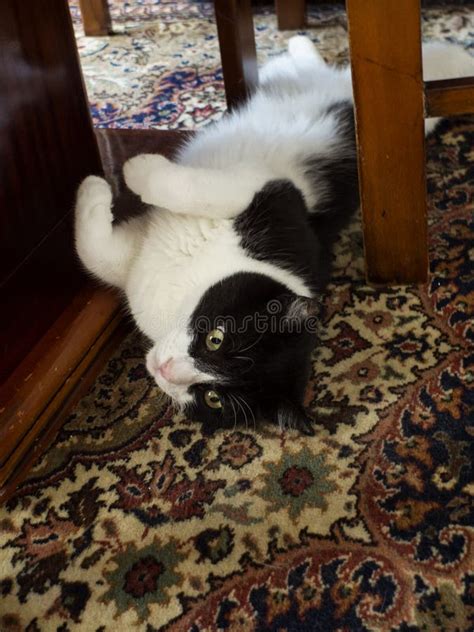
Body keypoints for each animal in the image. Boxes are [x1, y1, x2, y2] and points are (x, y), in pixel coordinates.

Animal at [74, 37, 474, 434]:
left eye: (212, 398)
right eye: (216, 338)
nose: (166, 370)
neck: (179, 297)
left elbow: (100, 254)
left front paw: (111, 179)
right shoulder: (277, 197)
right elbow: (97, 248)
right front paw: (110, 179)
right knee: (312, 70)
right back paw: (298, 46)